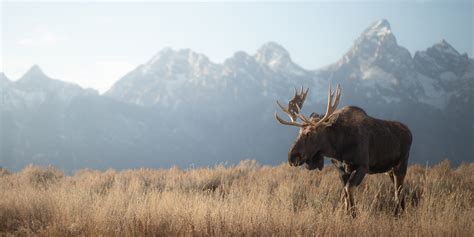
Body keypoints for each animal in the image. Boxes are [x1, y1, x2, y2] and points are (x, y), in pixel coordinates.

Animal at [276, 85, 412, 217]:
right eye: (299, 132)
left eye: (310, 133)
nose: (292, 157)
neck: (339, 147)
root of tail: (409, 132)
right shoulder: (340, 168)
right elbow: (345, 194)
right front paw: (347, 215)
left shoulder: (362, 166)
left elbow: (349, 188)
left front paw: (353, 215)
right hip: (389, 170)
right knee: (400, 189)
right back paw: (402, 212)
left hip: (401, 164)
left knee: (398, 190)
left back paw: (396, 214)